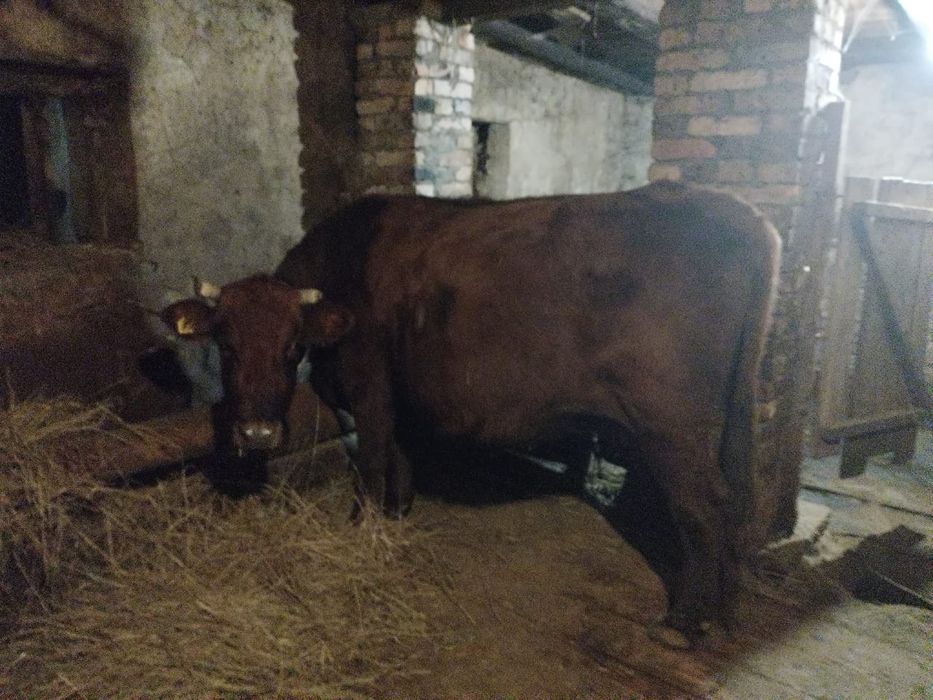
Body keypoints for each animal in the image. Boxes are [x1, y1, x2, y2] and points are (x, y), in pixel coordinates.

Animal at [157, 180, 781, 639]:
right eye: (226, 345)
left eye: (292, 346)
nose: (258, 433)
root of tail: (738, 211)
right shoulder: (399, 398)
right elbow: (400, 461)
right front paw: (397, 519)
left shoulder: (371, 389)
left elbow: (373, 462)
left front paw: (364, 535)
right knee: (736, 502)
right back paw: (724, 609)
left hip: (672, 424)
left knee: (705, 506)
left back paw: (685, 622)